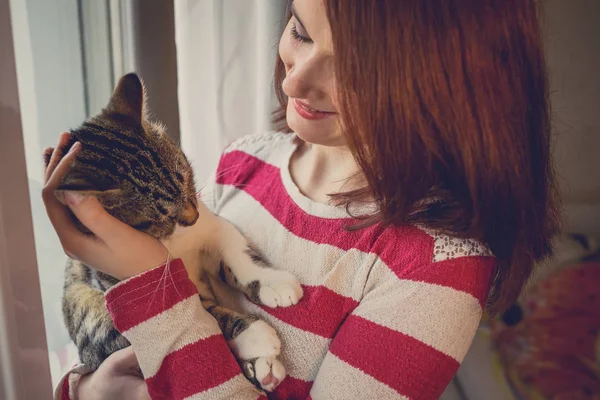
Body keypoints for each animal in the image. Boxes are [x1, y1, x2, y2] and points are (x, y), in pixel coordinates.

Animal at [50, 73, 304, 392]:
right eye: (156, 216)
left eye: (184, 174)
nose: (192, 218)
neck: (178, 242)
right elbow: (206, 312)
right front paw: (252, 333)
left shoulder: (211, 227)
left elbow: (236, 249)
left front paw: (272, 282)